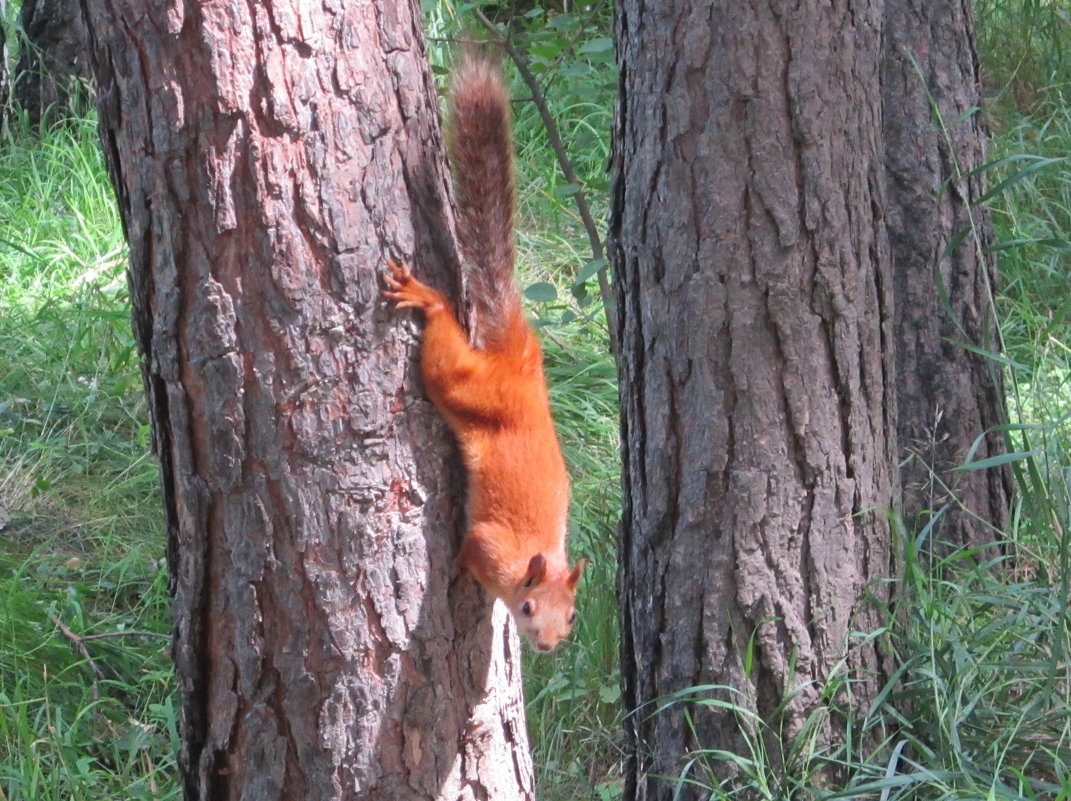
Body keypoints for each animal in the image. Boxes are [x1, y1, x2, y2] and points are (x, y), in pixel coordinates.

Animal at [383, 53, 586, 651]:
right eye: (528, 606)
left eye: (572, 617)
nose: (546, 645)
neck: (530, 561)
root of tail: (517, 357)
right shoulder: (489, 543)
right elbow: (466, 550)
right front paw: (453, 574)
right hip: (460, 383)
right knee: (444, 349)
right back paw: (427, 299)